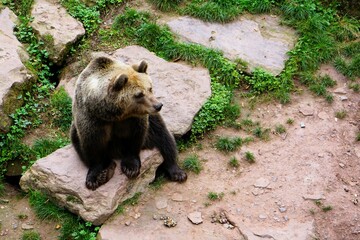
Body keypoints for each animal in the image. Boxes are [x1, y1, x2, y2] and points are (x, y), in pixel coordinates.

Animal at [71, 55, 188, 190]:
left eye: (150, 88)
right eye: (139, 94)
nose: (158, 105)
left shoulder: (134, 119)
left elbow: (134, 137)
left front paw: (131, 167)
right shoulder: (92, 119)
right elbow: (92, 144)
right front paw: (94, 178)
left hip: (153, 125)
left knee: (164, 138)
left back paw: (177, 172)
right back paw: (107, 171)